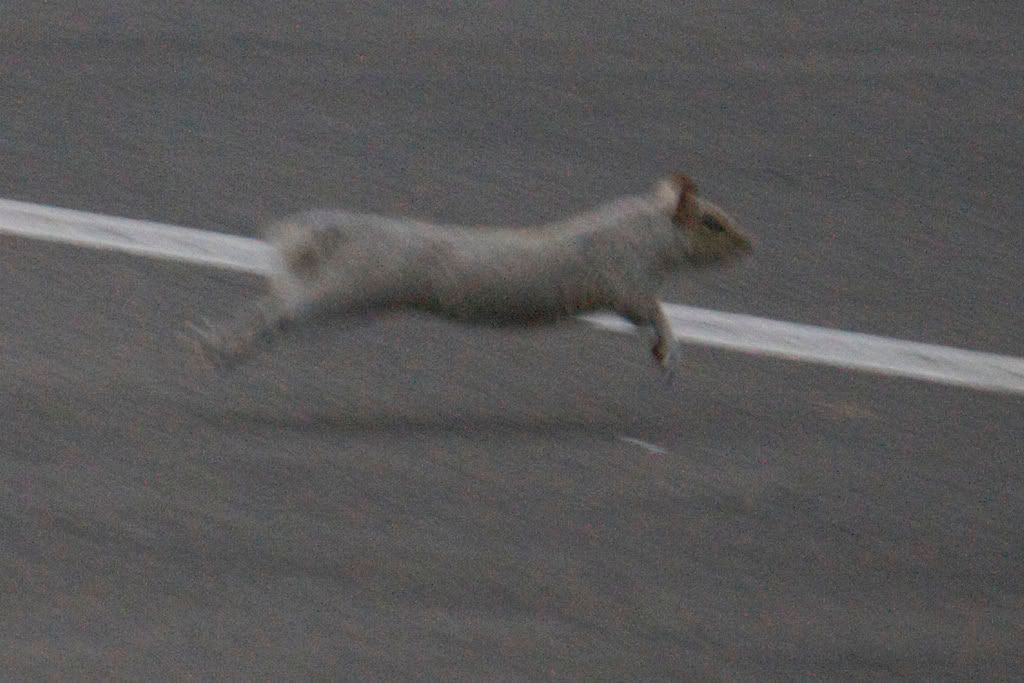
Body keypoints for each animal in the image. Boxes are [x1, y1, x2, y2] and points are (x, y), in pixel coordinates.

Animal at [188, 174, 752, 372]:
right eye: (712, 222)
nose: (750, 246)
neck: (648, 229)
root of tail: (322, 239)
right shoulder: (623, 277)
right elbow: (650, 310)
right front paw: (671, 346)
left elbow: (647, 319)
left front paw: (661, 351)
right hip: (340, 289)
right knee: (278, 312)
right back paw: (221, 344)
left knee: (275, 306)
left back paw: (218, 342)